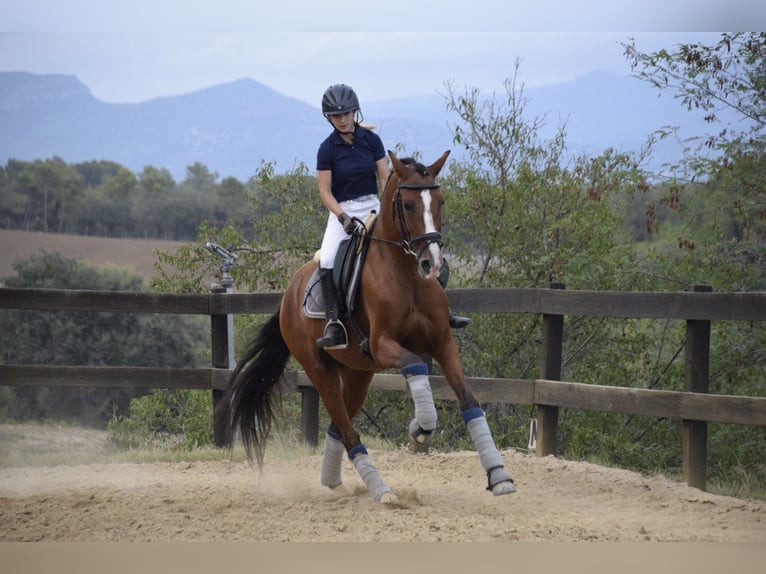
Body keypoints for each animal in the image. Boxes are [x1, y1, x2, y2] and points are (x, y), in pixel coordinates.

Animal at [221, 150, 516, 503]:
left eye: (440, 201)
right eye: (408, 205)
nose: (431, 264)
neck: (406, 276)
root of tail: (289, 295)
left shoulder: (443, 343)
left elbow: (470, 402)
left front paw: (499, 476)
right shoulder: (382, 344)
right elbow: (416, 366)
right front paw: (420, 428)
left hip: (358, 372)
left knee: (339, 425)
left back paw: (333, 481)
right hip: (320, 370)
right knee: (347, 429)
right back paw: (381, 491)